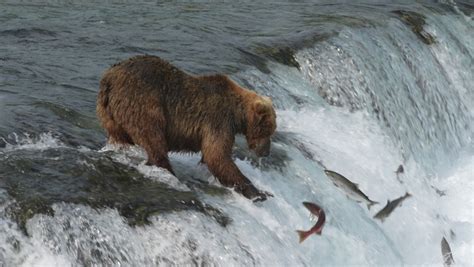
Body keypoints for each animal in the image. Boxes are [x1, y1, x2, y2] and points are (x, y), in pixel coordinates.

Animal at [96, 55, 276, 201]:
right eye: (268, 130)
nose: (266, 152)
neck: (237, 113)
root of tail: (109, 77)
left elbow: (211, 157)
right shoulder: (218, 120)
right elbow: (217, 156)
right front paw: (258, 193)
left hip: (109, 113)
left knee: (120, 136)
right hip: (144, 101)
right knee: (153, 137)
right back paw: (168, 172)